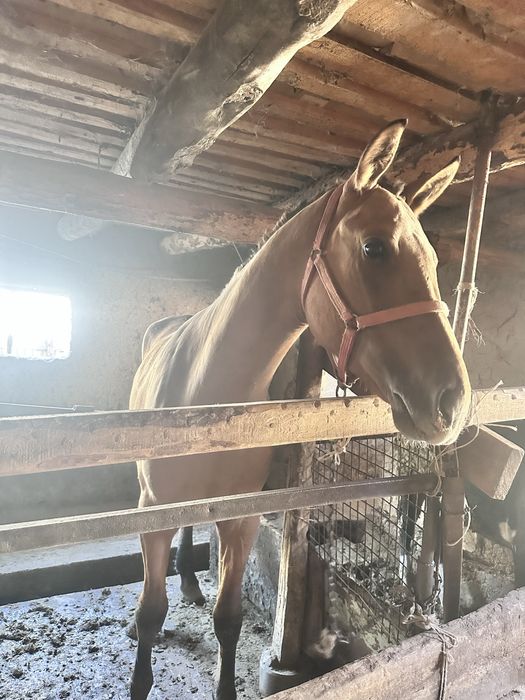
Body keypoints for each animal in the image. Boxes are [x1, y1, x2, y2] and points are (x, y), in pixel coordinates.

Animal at [129, 119, 471, 700]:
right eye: (374, 247)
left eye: (433, 258)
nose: (452, 400)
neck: (205, 399)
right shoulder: (154, 514)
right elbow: (153, 613)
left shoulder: (241, 520)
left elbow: (228, 618)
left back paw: (192, 584)